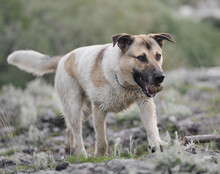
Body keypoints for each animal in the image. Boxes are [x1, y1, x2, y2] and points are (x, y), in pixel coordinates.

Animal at [7, 32, 175, 156]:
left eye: (158, 55)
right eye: (141, 58)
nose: (160, 77)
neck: (122, 81)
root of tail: (63, 58)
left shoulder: (145, 103)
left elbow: (151, 127)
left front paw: (156, 144)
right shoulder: (99, 111)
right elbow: (101, 140)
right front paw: (99, 157)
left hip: (86, 110)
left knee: (69, 127)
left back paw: (69, 148)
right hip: (75, 107)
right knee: (77, 131)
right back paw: (81, 154)